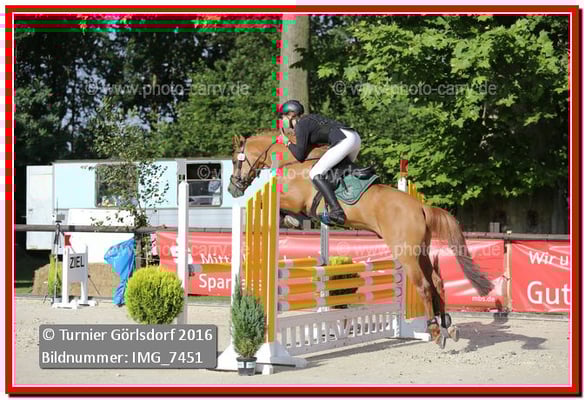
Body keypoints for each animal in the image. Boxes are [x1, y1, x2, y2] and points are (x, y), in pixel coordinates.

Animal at [227, 131, 494, 347]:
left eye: (233, 160)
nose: (233, 190)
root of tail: (420, 207)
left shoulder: (294, 199)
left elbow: (283, 207)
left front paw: (290, 220)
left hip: (406, 254)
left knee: (425, 286)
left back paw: (435, 330)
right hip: (421, 251)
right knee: (437, 282)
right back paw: (448, 325)